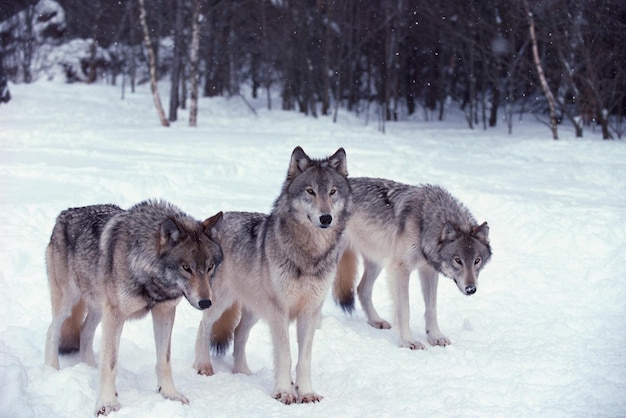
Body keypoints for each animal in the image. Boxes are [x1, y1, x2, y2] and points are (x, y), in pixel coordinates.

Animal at [44, 199, 224, 414]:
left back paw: (90, 368)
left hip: (99, 308)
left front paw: (169, 394)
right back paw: (51, 370)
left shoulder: (165, 311)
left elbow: (164, 360)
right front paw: (107, 404)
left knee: (85, 331)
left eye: (210, 267)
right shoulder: (115, 315)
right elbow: (110, 363)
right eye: (186, 268)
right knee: (52, 330)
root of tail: (64, 214)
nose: (206, 302)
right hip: (68, 303)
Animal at [194, 145, 352, 404]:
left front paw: (306, 392)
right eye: (310, 191)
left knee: (238, 333)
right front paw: (285, 392)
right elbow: (285, 355)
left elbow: (304, 359)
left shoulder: (310, 311)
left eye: (332, 192)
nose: (326, 218)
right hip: (219, 302)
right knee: (204, 326)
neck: (309, 254)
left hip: (256, 309)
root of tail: (206, 229)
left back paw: (243, 372)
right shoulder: (280, 311)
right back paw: (203, 366)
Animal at [332, 178, 488, 352]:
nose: (471, 289)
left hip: (378, 261)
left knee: (361, 289)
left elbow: (431, 309)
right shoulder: (400, 269)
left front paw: (435, 337)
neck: (425, 222)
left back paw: (376, 321)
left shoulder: (428, 270)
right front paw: (408, 342)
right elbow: (404, 310)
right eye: (458, 260)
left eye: (477, 261)